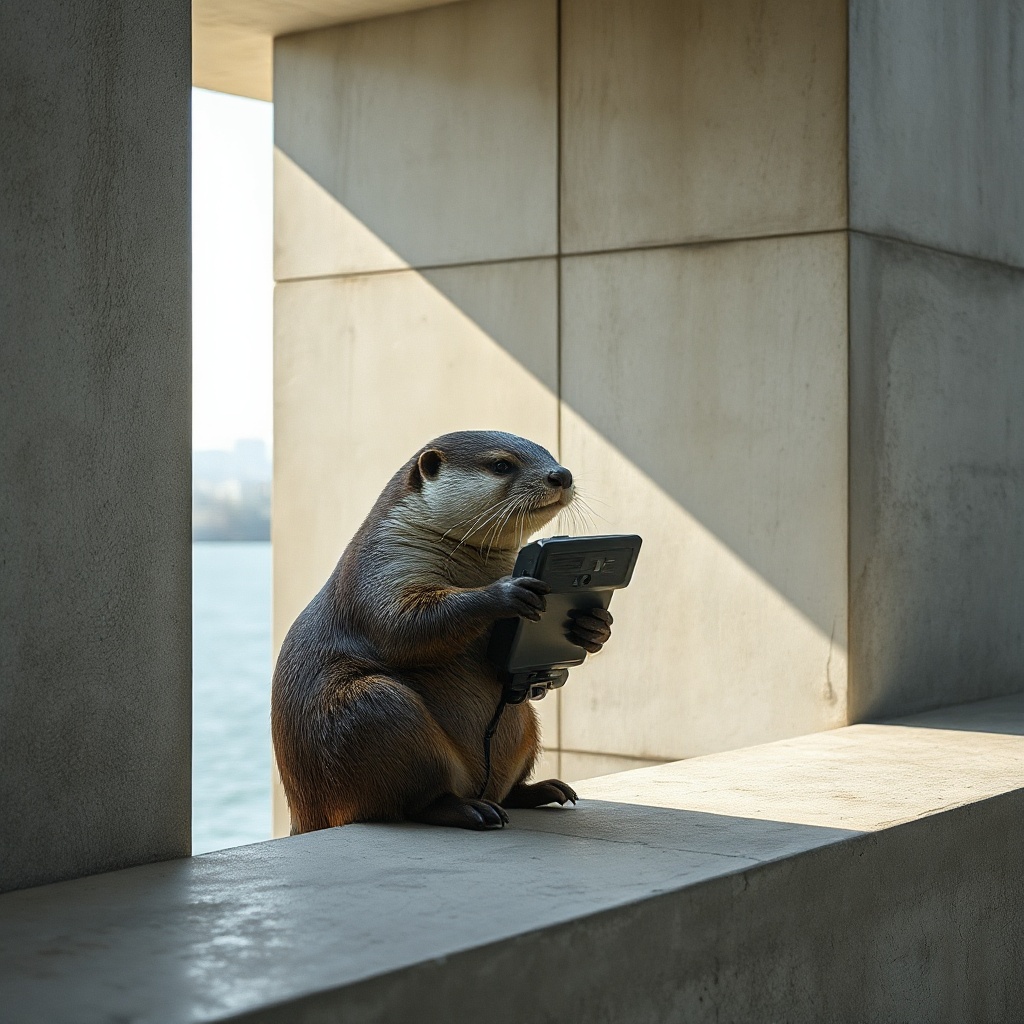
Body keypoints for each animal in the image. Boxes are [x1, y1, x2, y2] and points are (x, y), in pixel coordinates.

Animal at [271, 430, 614, 832]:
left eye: (549, 454)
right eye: (502, 464)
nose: (561, 474)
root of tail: (304, 813)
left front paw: (595, 627)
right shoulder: (382, 567)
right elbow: (402, 626)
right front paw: (505, 592)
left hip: (524, 726)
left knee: (510, 775)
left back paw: (541, 790)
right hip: (371, 710)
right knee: (416, 799)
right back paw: (468, 810)